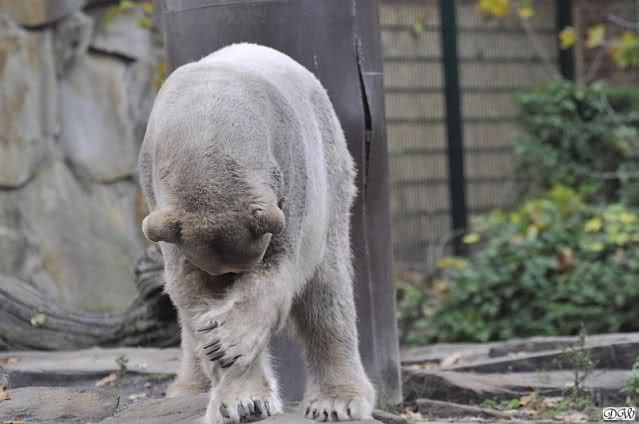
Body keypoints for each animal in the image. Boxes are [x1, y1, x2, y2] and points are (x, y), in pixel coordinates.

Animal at [138, 43, 375, 424]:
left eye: (244, 267)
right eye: (220, 274)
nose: (229, 290)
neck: (209, 116)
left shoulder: (292, 174)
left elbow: (277, 274)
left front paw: (226, 345)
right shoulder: (164, 211)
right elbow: (191, 292)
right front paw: (240, 402)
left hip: (332, 174)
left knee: (327, 290)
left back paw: (337, 401)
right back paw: (187, 389)